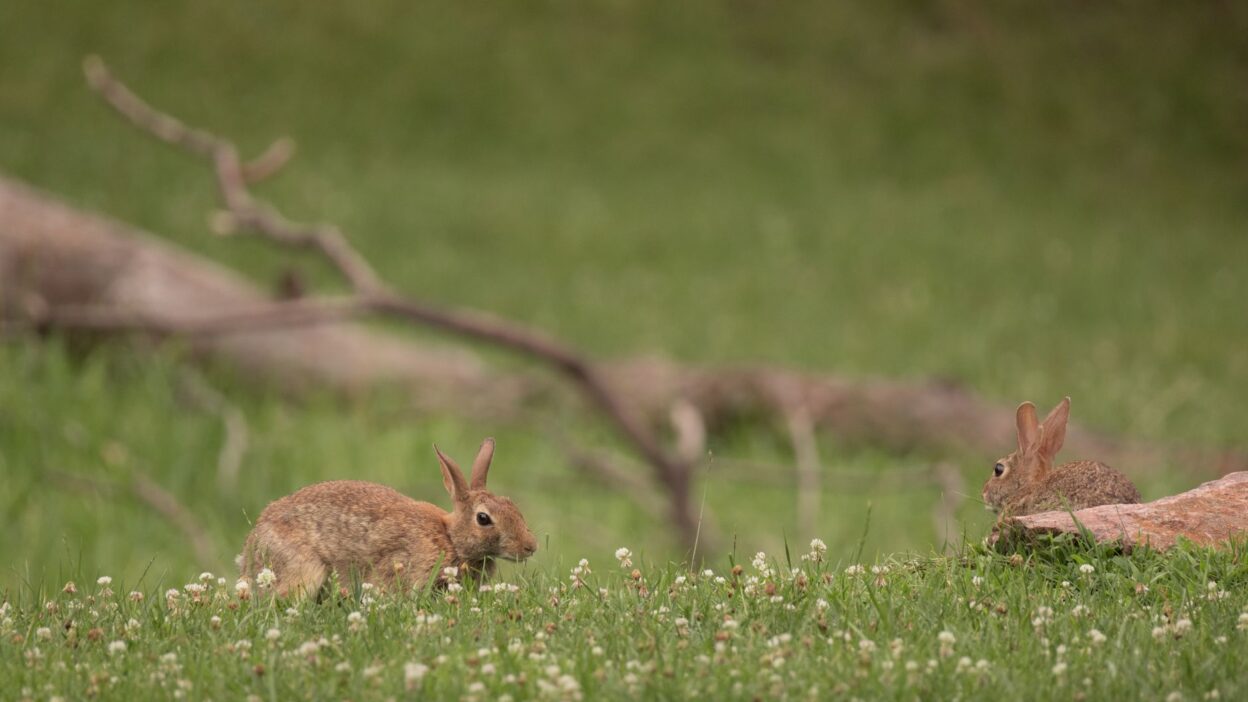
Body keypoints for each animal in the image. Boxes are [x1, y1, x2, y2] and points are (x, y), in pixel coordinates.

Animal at [240, 438, 537, 597]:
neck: (450, 539)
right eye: (483, 518)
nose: (530, 547)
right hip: (303, 570)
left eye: (512, 505)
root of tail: (252, 547)